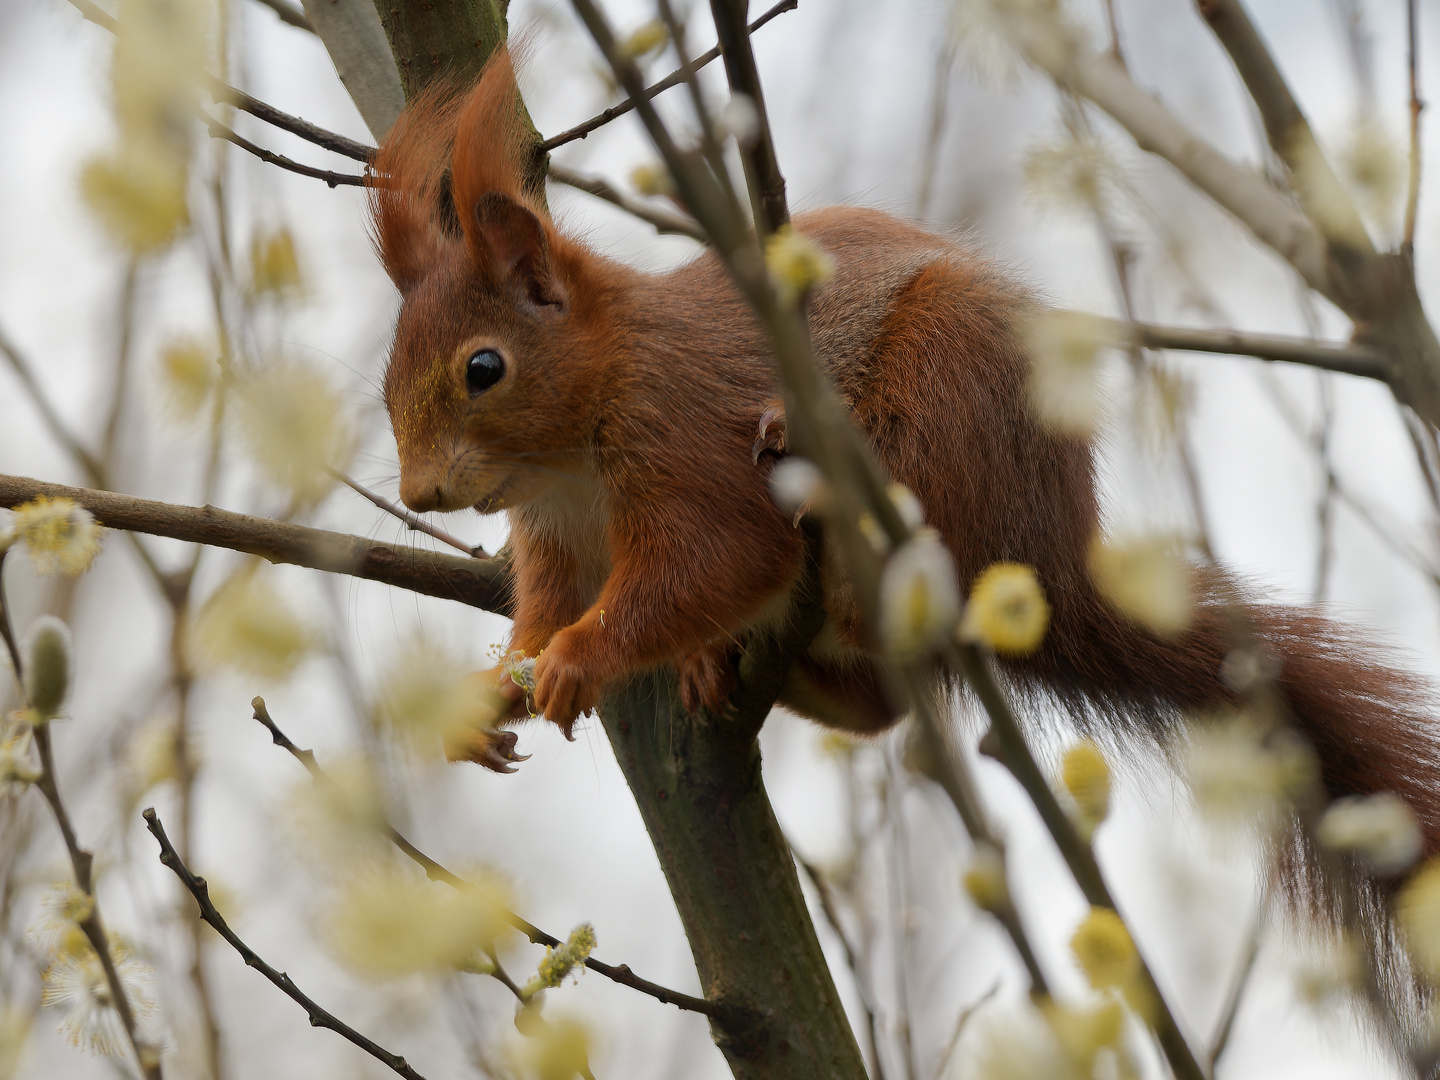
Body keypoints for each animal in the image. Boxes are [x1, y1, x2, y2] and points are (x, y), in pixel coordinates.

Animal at [368, 52, 1440, 864]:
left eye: (484, 368)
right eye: (387, 370)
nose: (422, 488)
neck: (567, 459)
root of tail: (1051, 565)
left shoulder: (685, 442)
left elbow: (717, 559)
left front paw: (580, 657)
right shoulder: (553, 537)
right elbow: (540, 609)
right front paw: (489, 692)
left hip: (941, 399)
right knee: (883, 706)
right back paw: (738, 669)